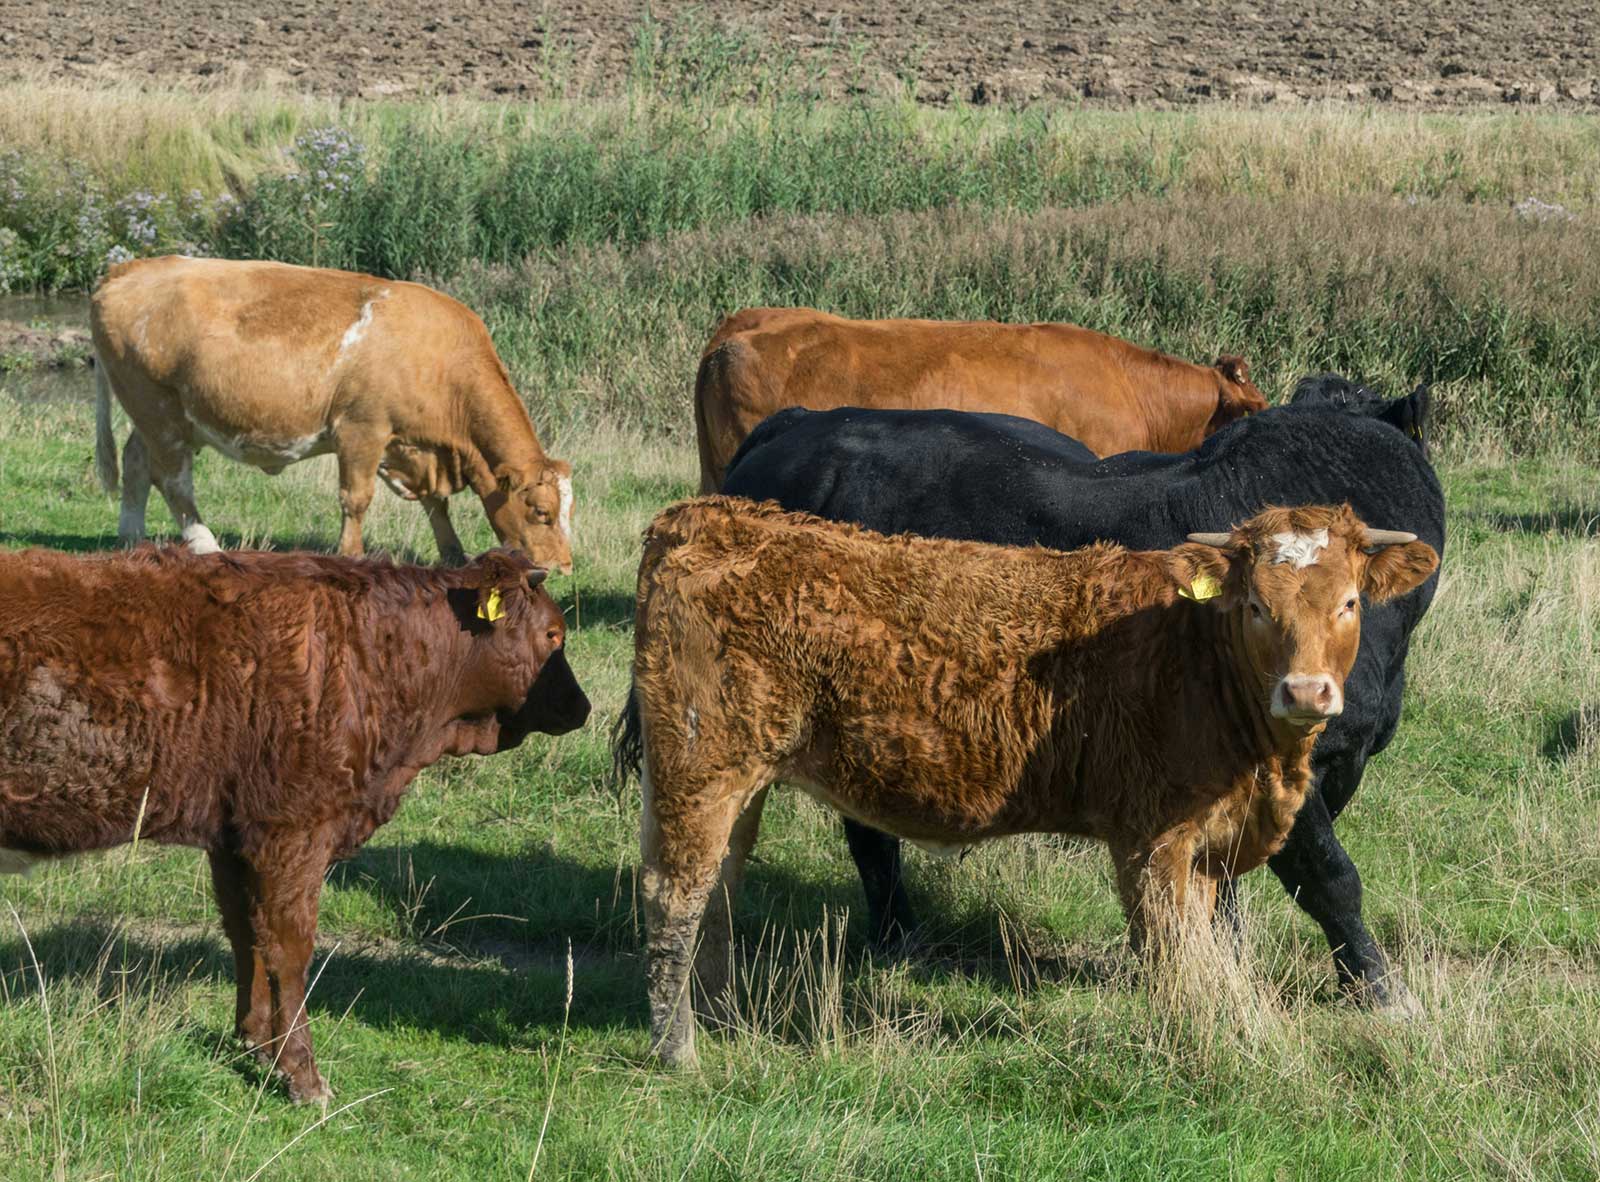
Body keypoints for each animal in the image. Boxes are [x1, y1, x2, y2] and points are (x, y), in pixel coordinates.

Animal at [0, 545, 591, 1102]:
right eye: (552, 633)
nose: (581, 707)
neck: (368, 652)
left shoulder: (234, 836)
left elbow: (247, 935)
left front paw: (256, 1043)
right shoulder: (292, 829)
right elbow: (290, 947)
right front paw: (302, 1074)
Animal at [91, 256, 575, 572]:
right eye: (541, 512)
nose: (561, 566)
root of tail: (127, 269)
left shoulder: (412, 445)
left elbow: (436, 504)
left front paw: (453, 553)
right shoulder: (362, 430)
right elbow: (356, 499)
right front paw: (352, 555)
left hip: (158, 417)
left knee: (136, 462)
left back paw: (130, 536)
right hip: (158, 410)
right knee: (174, 481)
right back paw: (205, 545)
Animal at [614, 497, 1438, 1066]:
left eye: (1350, 602)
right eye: (1259, 605)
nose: (1306, 692)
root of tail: (708, 517)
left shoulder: (1201, 849)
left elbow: (1203, 950)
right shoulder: (1152, 840)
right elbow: (1174, 956)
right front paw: (1194, 1044)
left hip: (740, 779)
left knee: (720, 886)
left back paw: (721, 1017)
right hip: (703, 761)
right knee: (674, 891)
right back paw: (678, 1049)